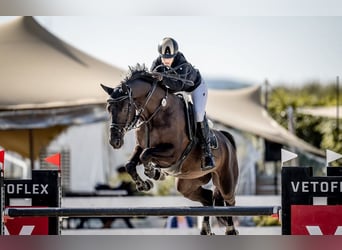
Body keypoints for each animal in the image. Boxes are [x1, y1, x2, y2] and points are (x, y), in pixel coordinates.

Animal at [100, 64, 239, 234]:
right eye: (108, 108)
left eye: (125, 108)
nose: (114, 141)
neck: (156, 113)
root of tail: (226, 139)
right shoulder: (141, 146)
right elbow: (131, 164)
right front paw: (144, 184)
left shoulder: (173, 153)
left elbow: (146, 155)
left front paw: (153, 172)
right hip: (187, 183)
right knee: (207, 197)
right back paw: (205, 229)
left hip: (226, 181)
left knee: (230, 201)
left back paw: (230, 230)